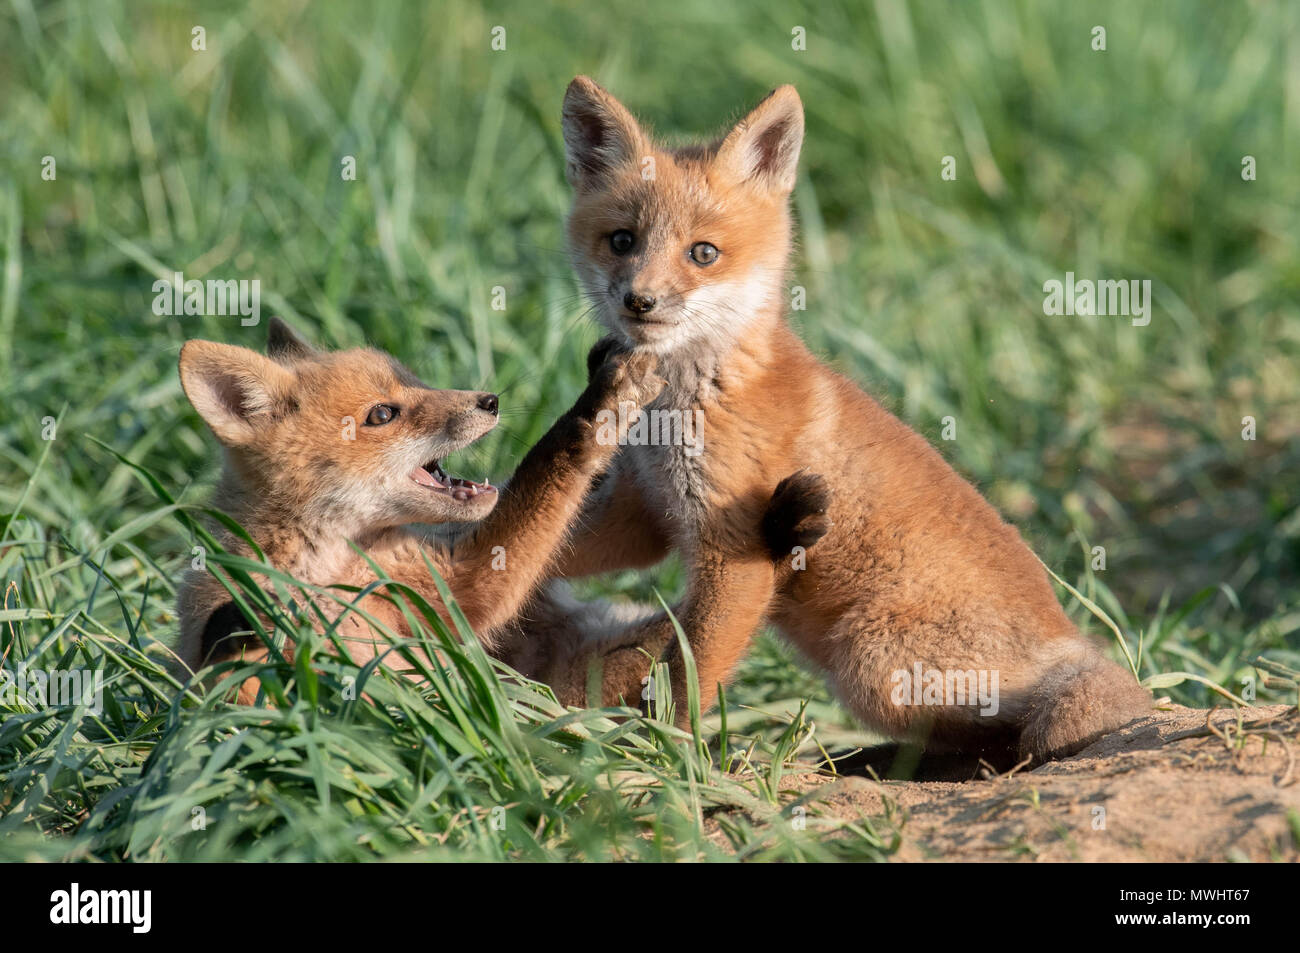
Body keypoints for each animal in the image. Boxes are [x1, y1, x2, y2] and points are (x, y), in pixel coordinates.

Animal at [174, 319, 830, 707]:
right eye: (383, 414)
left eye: (415, 380)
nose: (489, 400)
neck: (332, 572)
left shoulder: (444, 587)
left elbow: (543, 473)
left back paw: (786, 530)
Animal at [552, 76, 1152, 762]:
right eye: (622, 240)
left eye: (702, 253)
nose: (640, 301)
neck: (682, 407)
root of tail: (1069, 639)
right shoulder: (644, 513)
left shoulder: (735, 553)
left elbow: (693, 678)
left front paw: (676, 761)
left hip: (871, 662)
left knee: (1002, 736)